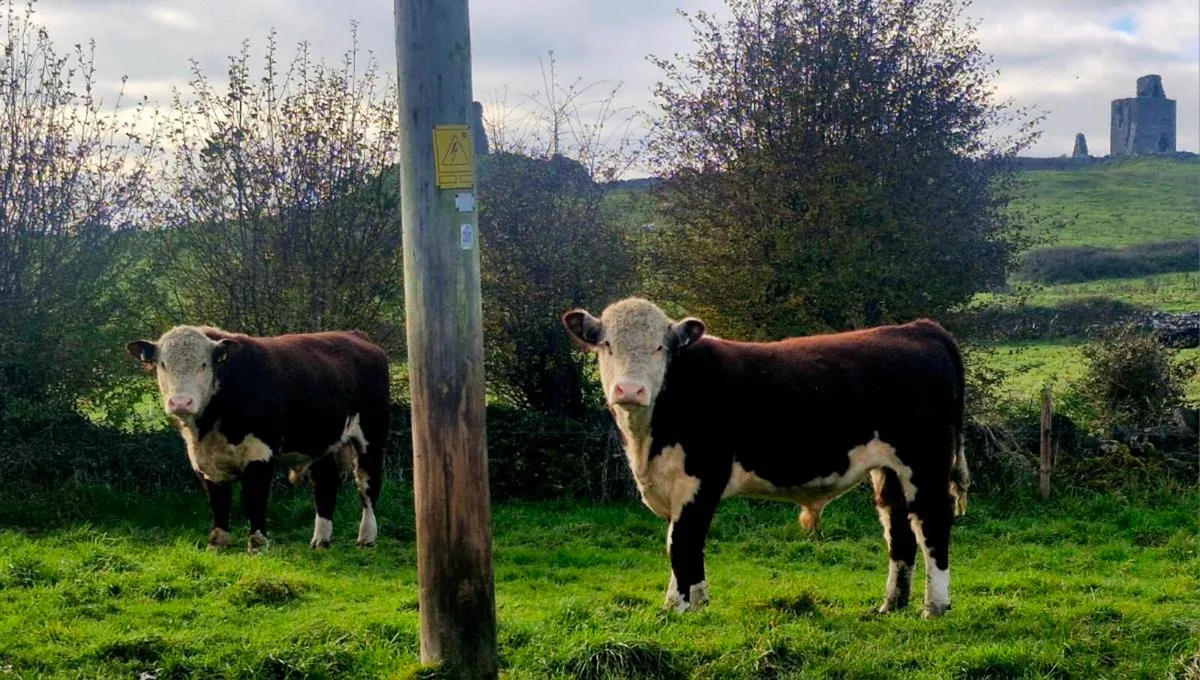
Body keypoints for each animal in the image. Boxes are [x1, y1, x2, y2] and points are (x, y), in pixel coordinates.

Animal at [126, 325, 391, 554]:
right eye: (162, 364)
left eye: (204, 364)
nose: (181, 402)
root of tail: (356, 335)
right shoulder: (205, 459)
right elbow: (218, 501)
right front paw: (218, 542)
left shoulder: (259, 453)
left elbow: (254, 498)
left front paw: (257, 544)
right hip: (320, 442)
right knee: (325, 484)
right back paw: (321, 540)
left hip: (372, 436)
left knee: (367, 484)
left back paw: (367, 537)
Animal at [562, 297, 970, 617]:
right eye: (607, 345)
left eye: (659, 348)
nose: (630, 390)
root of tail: (920, 328)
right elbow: (682, 542)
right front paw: (690, 603)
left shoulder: (702, 478)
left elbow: (682, 541)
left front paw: (681, 608)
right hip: (889, 469)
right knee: (898, 527)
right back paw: (891, 604)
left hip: (925, 461)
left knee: (932, 522)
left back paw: (934, 607)